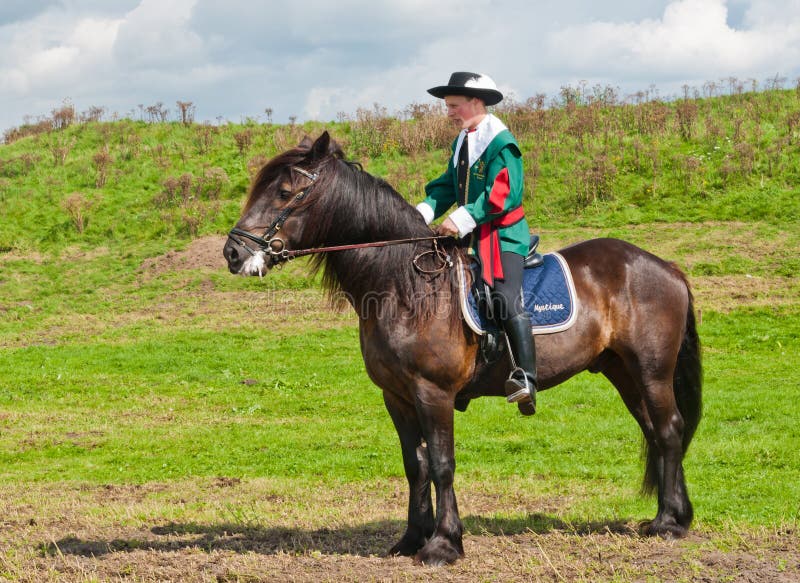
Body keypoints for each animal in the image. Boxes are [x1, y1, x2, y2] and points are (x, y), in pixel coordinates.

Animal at [220, 131, 700, 564]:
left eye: (284, 192)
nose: (233, 253)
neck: (405, 285)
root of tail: (665, 266)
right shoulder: (396, 396)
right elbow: (415, 465)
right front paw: (412, 538)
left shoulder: (433, 393)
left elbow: (441, 464)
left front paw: (444, 544)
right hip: (623, 372)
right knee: (655, 432)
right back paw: (672, 515)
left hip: (651, 371)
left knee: (670, 429)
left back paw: (669, 524)